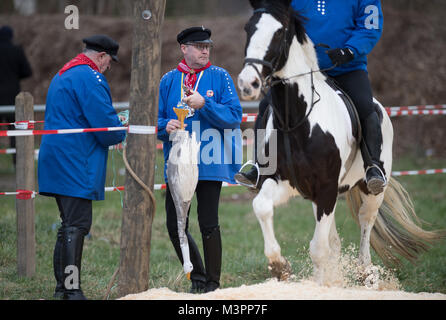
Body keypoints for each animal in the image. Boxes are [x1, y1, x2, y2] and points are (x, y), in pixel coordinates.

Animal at [237, 0, 442, 284]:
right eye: (248, 28)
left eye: (279, 33)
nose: (248, 83)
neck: (299, 120)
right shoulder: (284, 182)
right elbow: (262, 207)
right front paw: (279, 266)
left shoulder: (326, 188)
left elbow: (319, 249)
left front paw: (320, 284)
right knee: (333, 241)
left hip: (369, 192)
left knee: (365, 225)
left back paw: (365, 272)